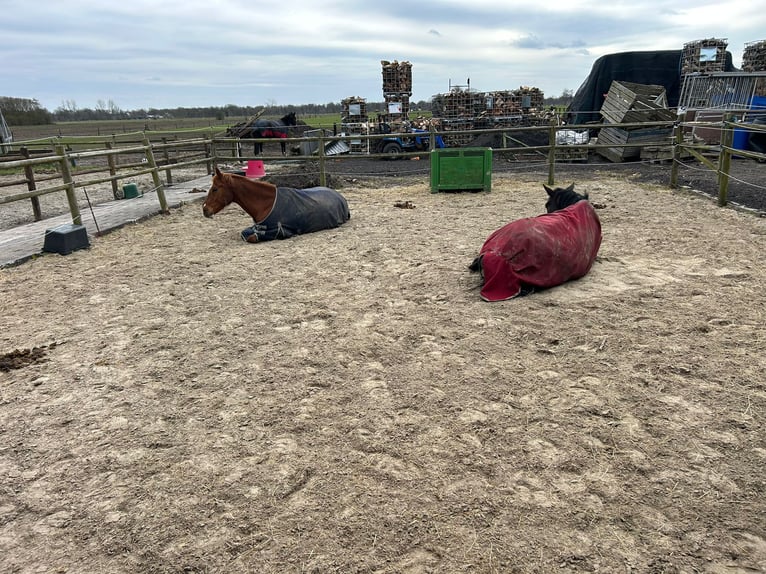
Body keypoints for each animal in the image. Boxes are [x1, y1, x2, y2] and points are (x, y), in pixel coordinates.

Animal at [202, 167, 350, 243]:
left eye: (215, 189)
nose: (205, 210)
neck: (266, 204)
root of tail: (340, 197)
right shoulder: (257, 226)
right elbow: (245, 234)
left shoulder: (280, 228)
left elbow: (252, 237)